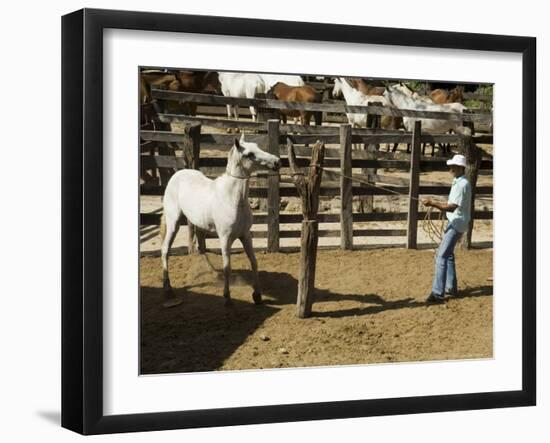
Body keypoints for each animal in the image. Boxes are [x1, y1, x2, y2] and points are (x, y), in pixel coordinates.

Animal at [160, 135, 280, 306]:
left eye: (257, 146)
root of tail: (177, 175)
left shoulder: (245, 235)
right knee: (165, 250)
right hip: (173, 223)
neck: (233, 199)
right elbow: (227, 267)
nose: (277, 162)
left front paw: (257, 295)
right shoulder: (225, 238)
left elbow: (254, 262)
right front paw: (227, 297)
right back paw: (168, 289)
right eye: (249, 154)